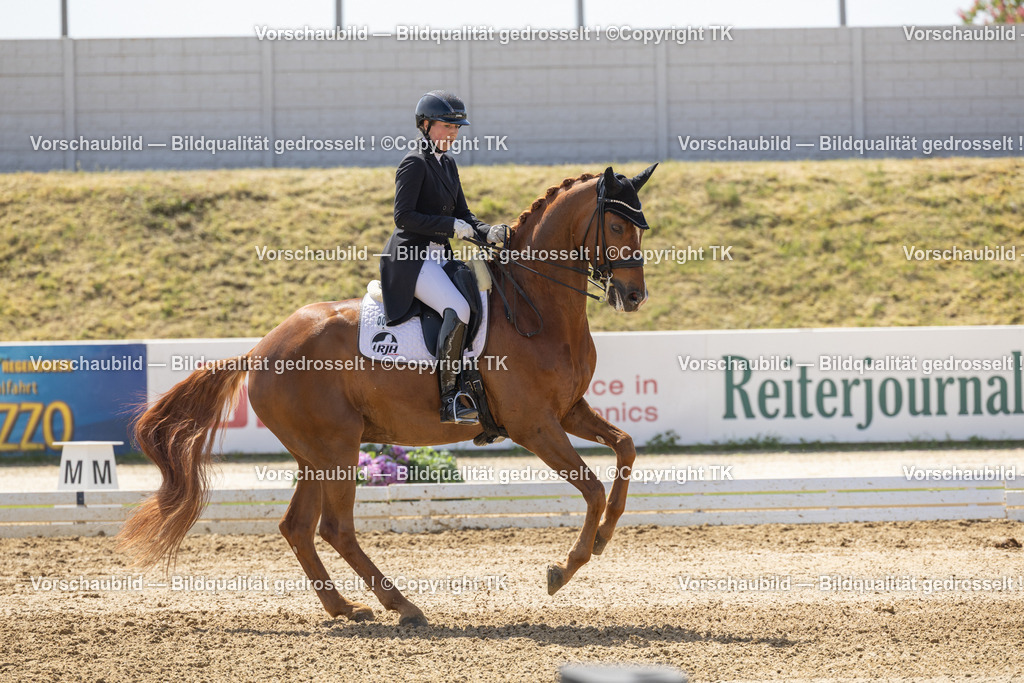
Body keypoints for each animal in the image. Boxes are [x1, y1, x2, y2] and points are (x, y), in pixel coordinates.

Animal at [117, 164, 658, 627]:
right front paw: (565, 567)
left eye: (641, 230)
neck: (534, 306)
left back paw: (346, 607)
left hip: (316, 452)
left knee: (297, 527)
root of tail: (260, 349)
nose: (634, 297)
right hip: (336, 446)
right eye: (615, 227)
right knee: (334, 528)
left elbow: (626, 449)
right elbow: (591, 487)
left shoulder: (568, 411)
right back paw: (402, 605)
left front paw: (605, 536)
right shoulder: (535, 425)